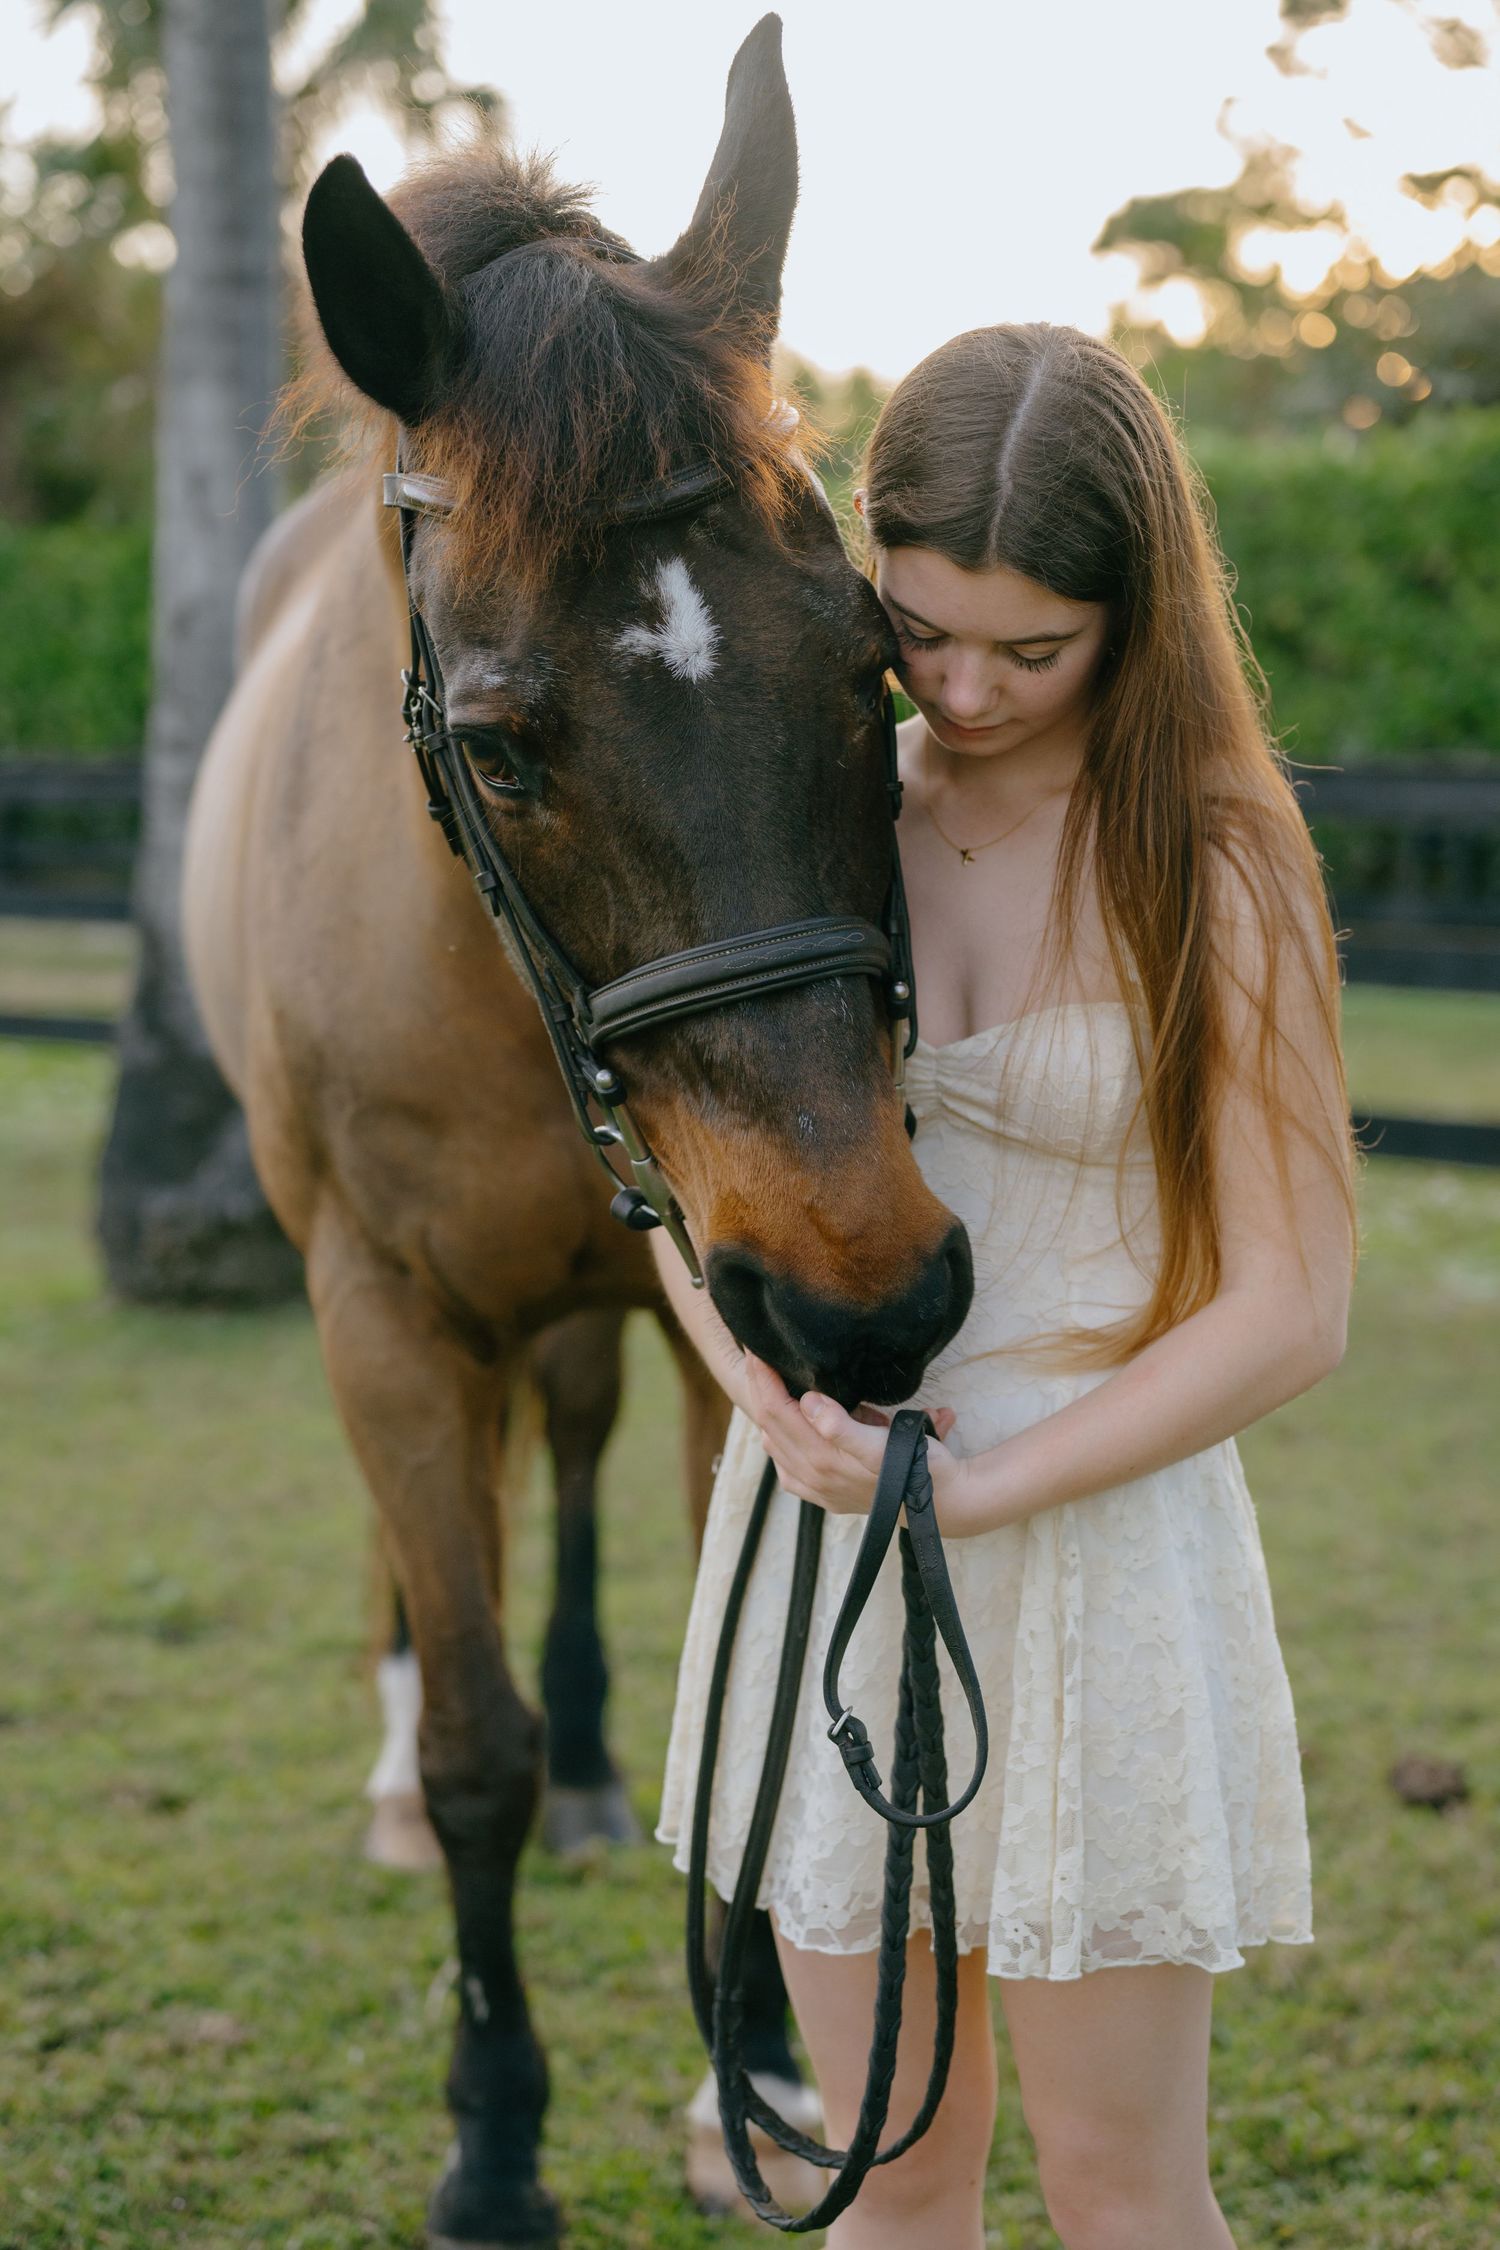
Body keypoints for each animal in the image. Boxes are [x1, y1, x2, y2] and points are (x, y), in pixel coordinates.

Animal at [182, 19, 971, 2243]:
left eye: (872, 662)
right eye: (507, 743)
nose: (881, 1294)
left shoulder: (738, 1330)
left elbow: (750, 1713)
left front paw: (759, 2078)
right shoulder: (385, 1318)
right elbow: (476, 1746)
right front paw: (493, 2139)